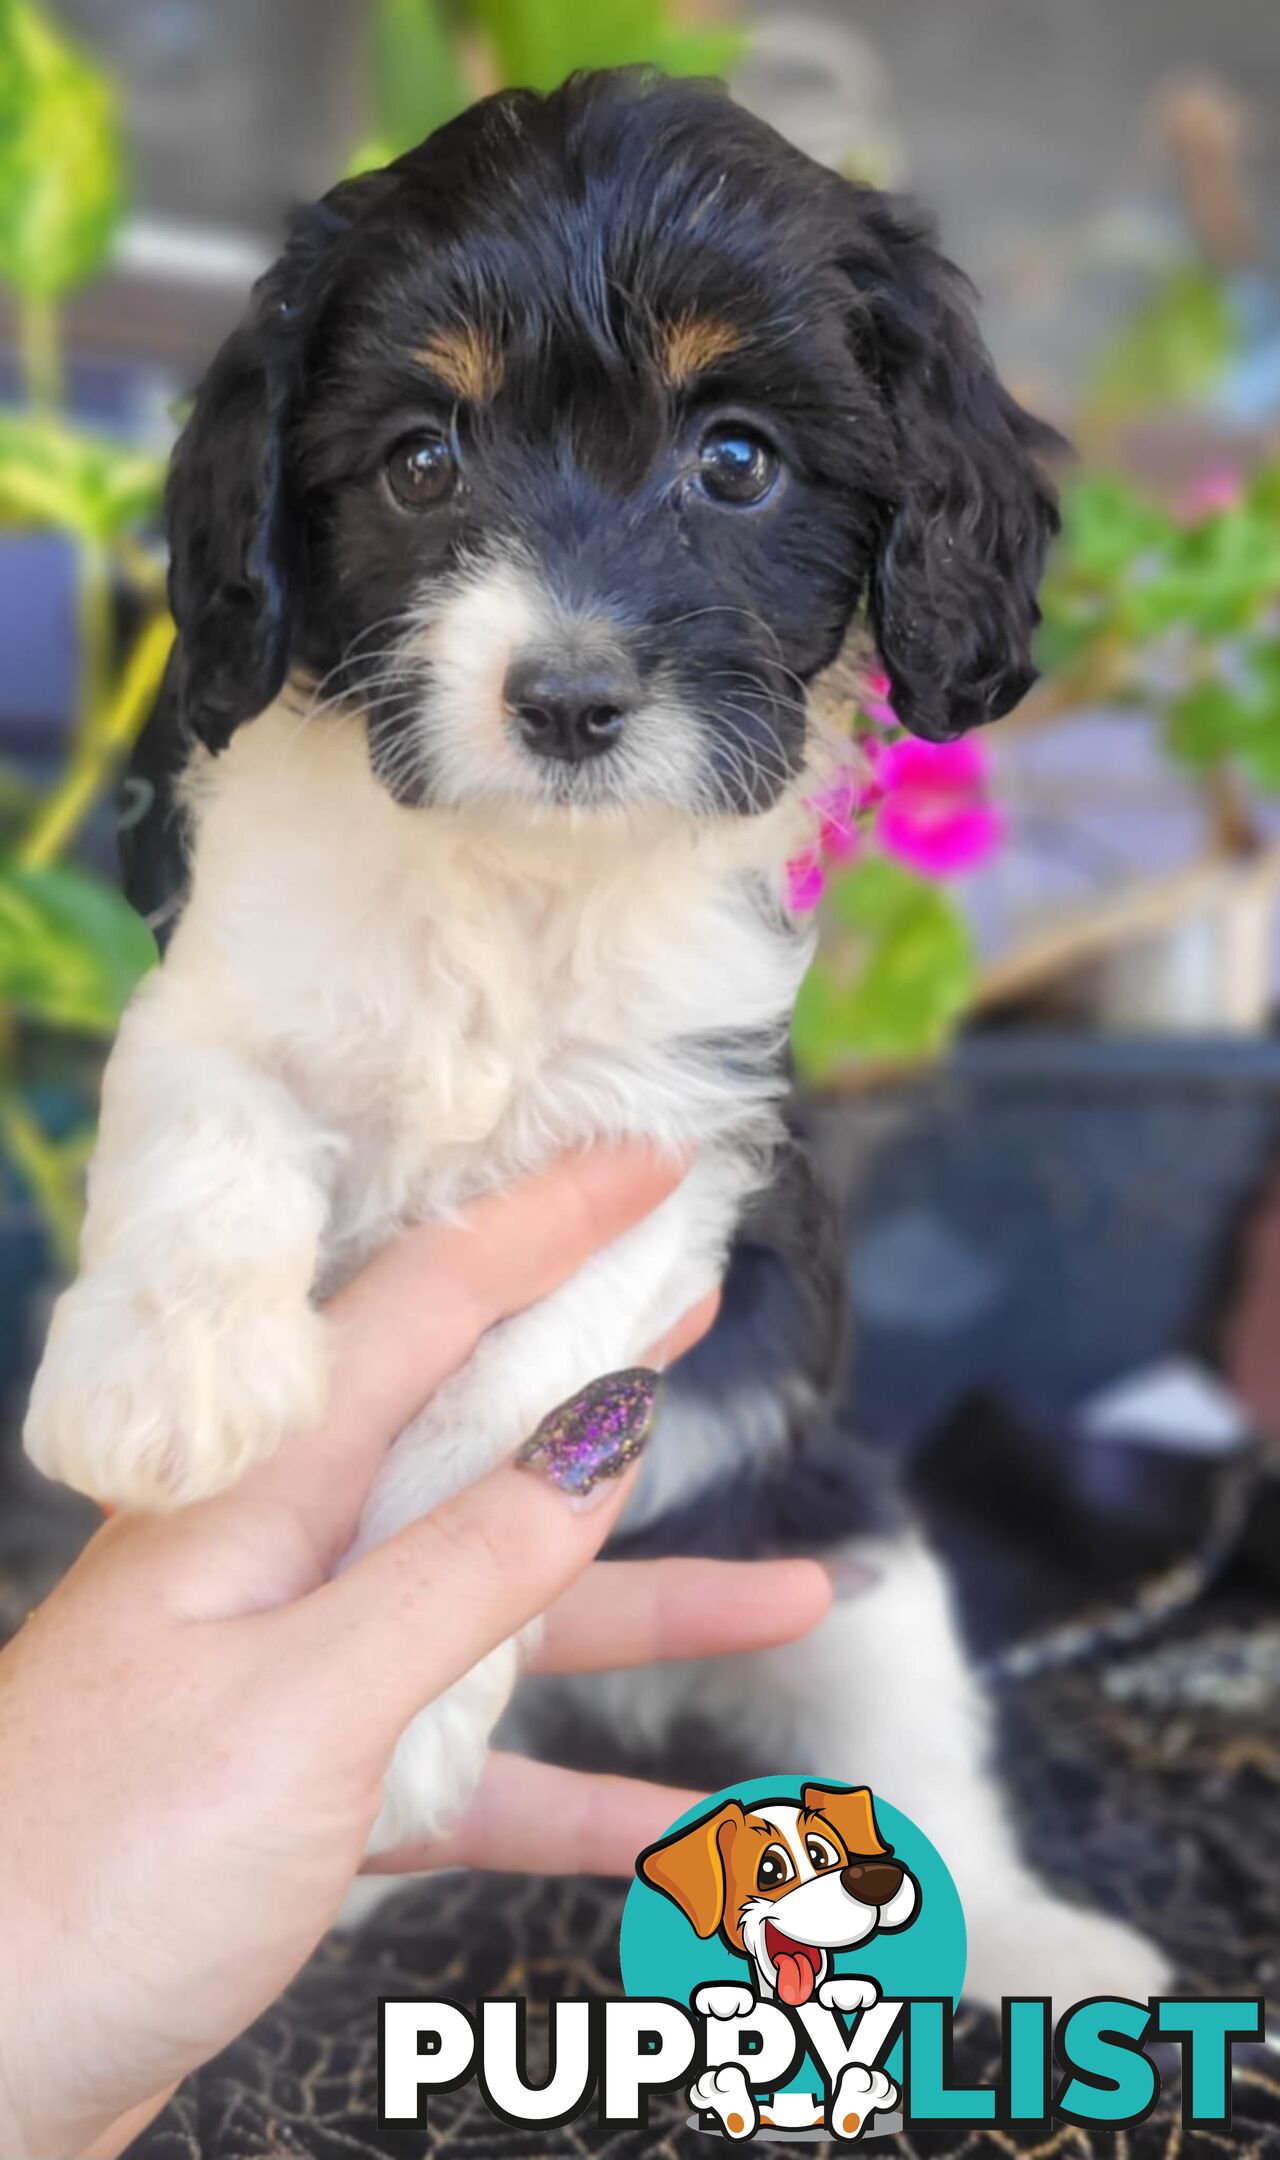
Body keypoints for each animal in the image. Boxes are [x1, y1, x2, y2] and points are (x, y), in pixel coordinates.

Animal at [22, 67, 1165, 2013]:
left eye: (738, 461)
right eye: (422, 462)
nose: (565, 700)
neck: (517, 877)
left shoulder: (668, 1157)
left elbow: (511, 1392)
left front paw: (398, 1707)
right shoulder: (221, 993)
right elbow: (207, 1142)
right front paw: (162, 1387)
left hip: (850, 1562)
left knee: (925, 1770)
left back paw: (1040, 1940)